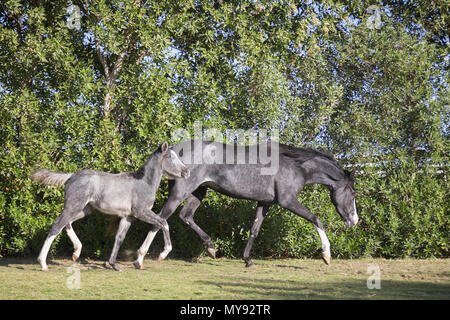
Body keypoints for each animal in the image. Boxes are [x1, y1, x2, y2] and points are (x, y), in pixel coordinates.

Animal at [31, 142, 190, 270]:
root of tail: (71, 176)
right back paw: (43, 263)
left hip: (84, 209)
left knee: (67, 223)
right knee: (56, 226)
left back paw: (76, 252)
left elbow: (119, 238)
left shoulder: (128, 217)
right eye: (170, 157)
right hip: (73, 206)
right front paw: (163, 254)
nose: (187, 171)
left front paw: (115, 265)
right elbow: (163, 222)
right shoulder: (141, 212)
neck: (144, 183)